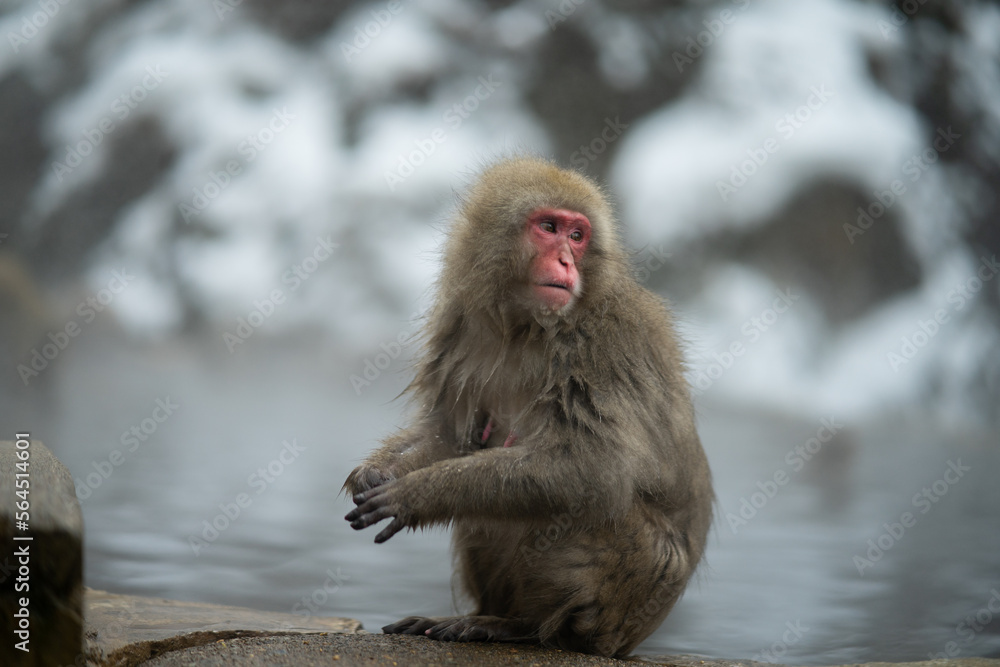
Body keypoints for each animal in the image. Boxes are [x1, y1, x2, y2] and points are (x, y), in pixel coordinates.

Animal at [344, 156, 713, 658]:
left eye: (577, 236)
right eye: (549, 227)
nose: (565, 261)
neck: (525, 326)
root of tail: (629, 639)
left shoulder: (603, 346)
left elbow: (595, 469)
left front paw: (420, 494)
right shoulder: (460, 326)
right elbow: (450, 434)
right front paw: (377, 471)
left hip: (630, 593)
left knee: (583, 509)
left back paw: (528, 627)